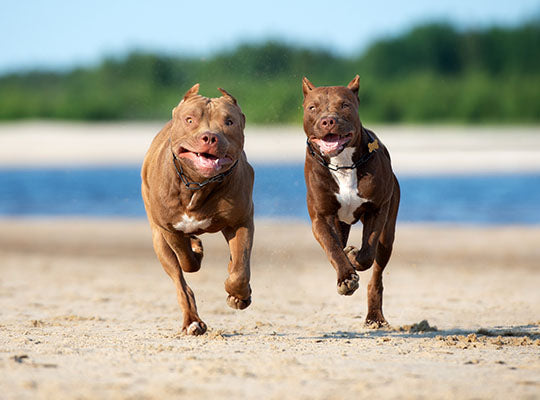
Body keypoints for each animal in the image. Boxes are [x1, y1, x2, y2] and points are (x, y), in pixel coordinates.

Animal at [142, 84, 254, 334]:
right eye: (190, 119)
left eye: (229, 122)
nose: (210, 137)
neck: (197, 184)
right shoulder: (169, 230)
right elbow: (186, 260)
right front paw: (195, 250)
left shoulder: (241, 222)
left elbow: (239, 270)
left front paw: (238, 296)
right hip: (158, 240)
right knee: (180, 280)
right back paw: (192, 321)